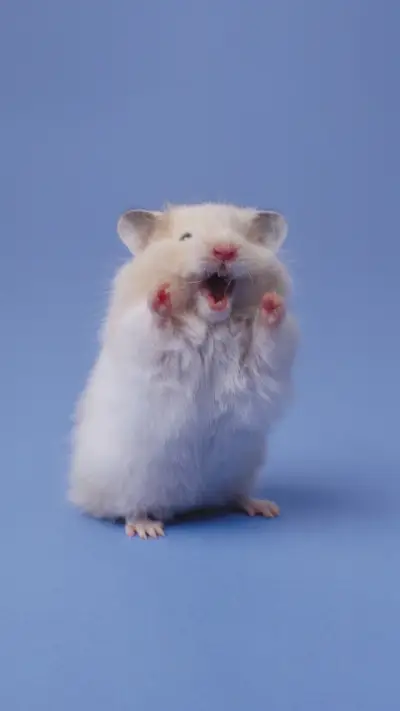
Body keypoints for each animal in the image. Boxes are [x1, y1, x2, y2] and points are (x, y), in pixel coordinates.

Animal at [68, 203, 298, 539]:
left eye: (240, 238)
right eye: (186, 237)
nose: (225, 250)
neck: (213, 321)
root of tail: (190, 502)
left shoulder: (267, 355)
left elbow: (269, 340)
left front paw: (271, 303)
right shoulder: (140, 338)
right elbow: (154, 326)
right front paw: (161, 296)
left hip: (241, 466)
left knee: (234, 495)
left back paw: (265, 507)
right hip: (127, 479)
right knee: (130, 509)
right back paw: (147, 528)